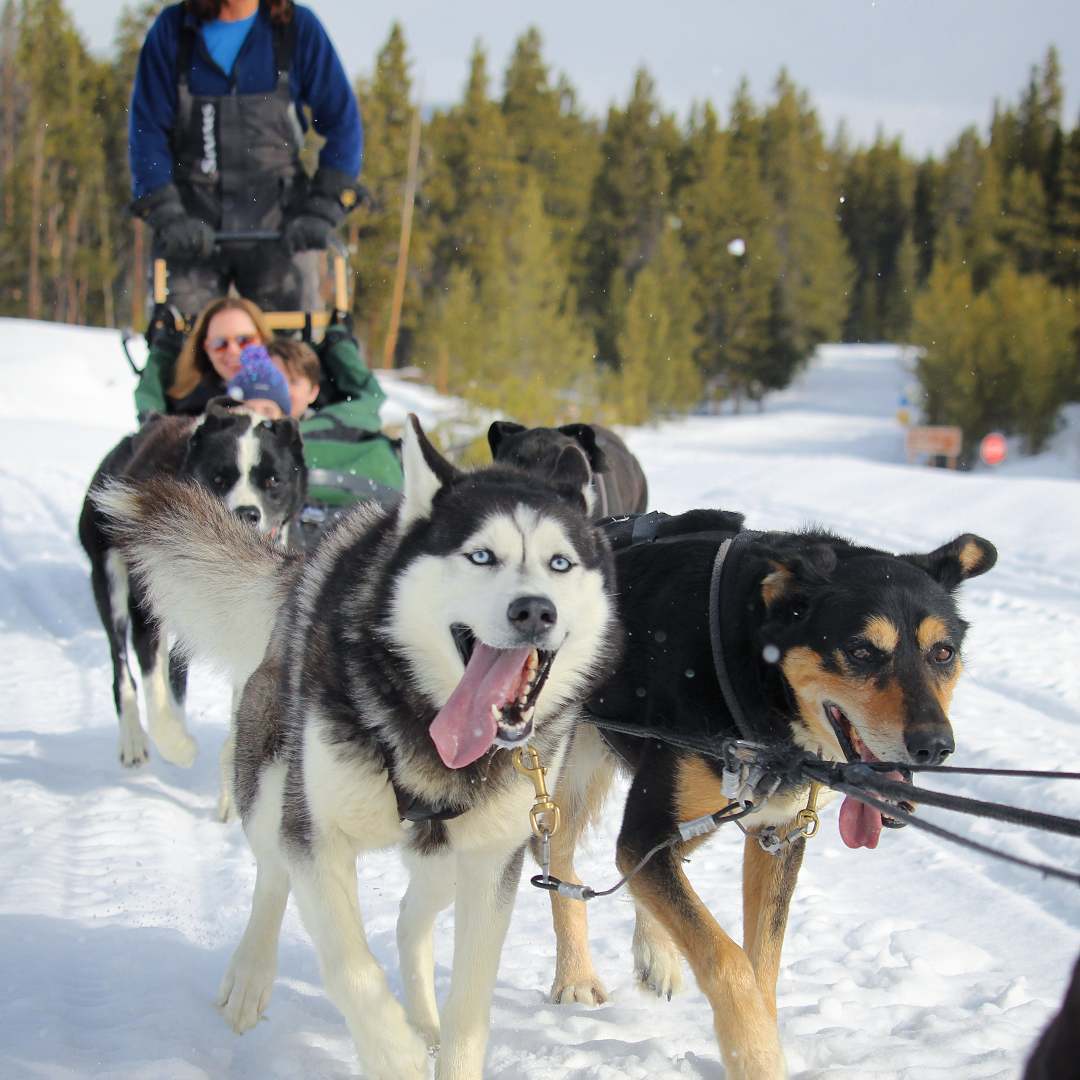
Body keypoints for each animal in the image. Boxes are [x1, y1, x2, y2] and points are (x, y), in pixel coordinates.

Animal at [79, 401, 304, 773]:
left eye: (273, 480)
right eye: (218, 478)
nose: (247, 513)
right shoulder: (147, 612)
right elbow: (153, 686)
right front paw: (177, 744)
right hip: (110, 582)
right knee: (122, 666)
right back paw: (134, 738)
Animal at [97, 414, 622, 1080]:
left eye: (560, 563)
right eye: (481, 555)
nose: (535, 611)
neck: (428, 733)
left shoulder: (491, 862)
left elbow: (470, 1008)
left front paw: (438, 1043)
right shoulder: (316, 836)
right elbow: (350, 969)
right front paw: (395, 1056)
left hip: (447, 855)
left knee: (409, 917)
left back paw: (422, 1018)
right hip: (273, 782)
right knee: (273, 875)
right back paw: (250, 978)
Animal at [548, 511, 993, 1080]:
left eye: (943, 653)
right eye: (861, 651)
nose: (935, 746)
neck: (758, 675)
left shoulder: (777, 833)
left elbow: (763, 964)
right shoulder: (649, 827)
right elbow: (729, 959)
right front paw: (756, 1057)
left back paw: (657, 954)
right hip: (565, 775)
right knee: (558, 858)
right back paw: (576, 978)